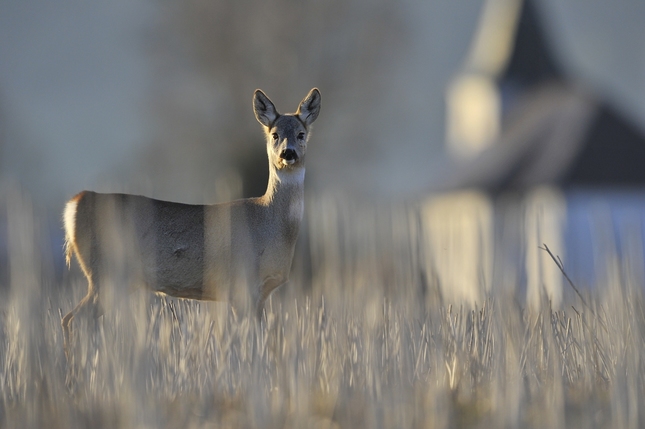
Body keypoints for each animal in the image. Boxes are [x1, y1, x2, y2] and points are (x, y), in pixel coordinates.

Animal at [63, 88, 320, 358]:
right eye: (275, 134)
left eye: (301, 134)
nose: (288, 153)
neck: (271, 226)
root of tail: (76, 204)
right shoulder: (242, 284)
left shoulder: (259, 295)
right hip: (106, 273)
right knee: (74, 319)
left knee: (72, 319)